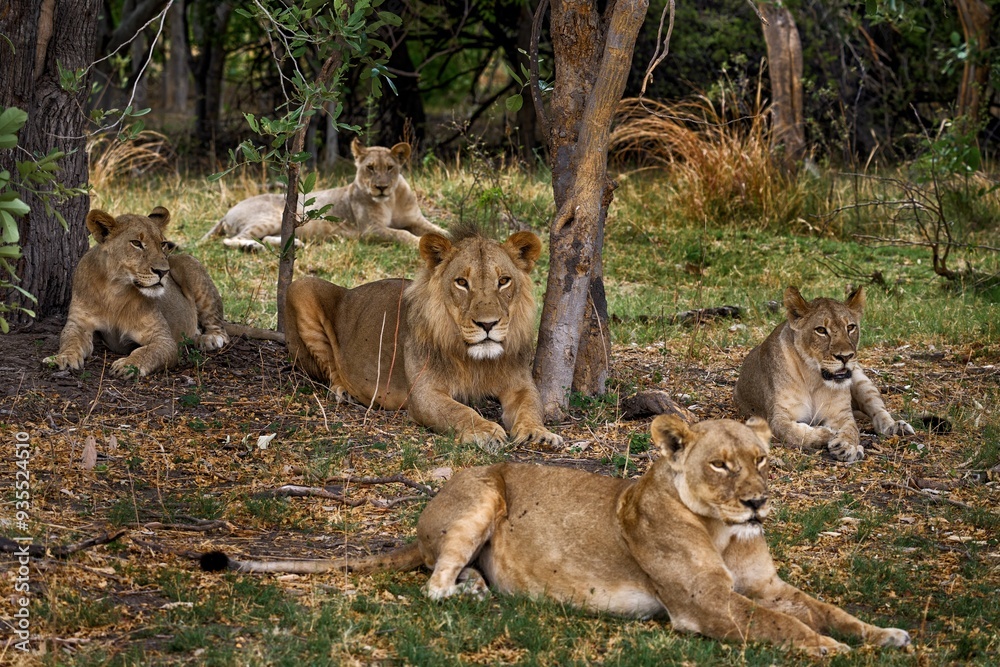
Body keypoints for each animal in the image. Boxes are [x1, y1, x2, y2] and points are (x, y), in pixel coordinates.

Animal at [44, 207, 243, 377]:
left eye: (163, 244)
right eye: (136, 243)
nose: (163, 272)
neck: (115, 291)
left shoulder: (162, 338)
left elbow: (147, 351)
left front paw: (128, 364)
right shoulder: (78, 324)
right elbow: (69, 340)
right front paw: (62, 358)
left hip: (189, 264)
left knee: (219, 327)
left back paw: (209, 339)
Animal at [200, 416, 911, 656]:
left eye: (762, 459)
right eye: (720, 465)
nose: (759, 500)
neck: (725, 533)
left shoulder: (765, 584)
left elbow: (826, 609)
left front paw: (883, 635)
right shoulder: (703, 604)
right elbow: (784, 626)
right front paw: (836, 653)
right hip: (481, 493)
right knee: (434, 584)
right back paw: (474, 593)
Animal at [201, 138, 446, 250]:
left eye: (389, 168)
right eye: (370, 168)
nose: (381, 187)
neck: (391, 200)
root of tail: (227, 212)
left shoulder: (416, 219)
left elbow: (437, 229)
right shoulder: (370, 229)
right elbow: (401, 234)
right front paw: (419, 242)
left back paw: (294, 244)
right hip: (271, 217)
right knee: (232, 239)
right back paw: (252, 248)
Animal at [283, 227, 561, 450]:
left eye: (503, 281)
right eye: (462, 282)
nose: (487, 324)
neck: (476, 361)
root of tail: (349, 291)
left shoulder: (520, 384)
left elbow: (531, 406)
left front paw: (539, 433)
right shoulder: (423, 393)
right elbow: (460, 410)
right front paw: (485, 431)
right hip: (300, 288)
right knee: (330, 369)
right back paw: (343, 391)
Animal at [734, 286, 914, 462]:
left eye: (850, 327)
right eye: (821, 330)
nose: (845, 357)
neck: (813, 377)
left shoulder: (842, 414)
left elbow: (852, 430)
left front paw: (847, 447)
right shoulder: (778, 416)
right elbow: (792, 433)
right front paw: (827, 434)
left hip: (861, 381)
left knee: (878, 410)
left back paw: (897, 427)